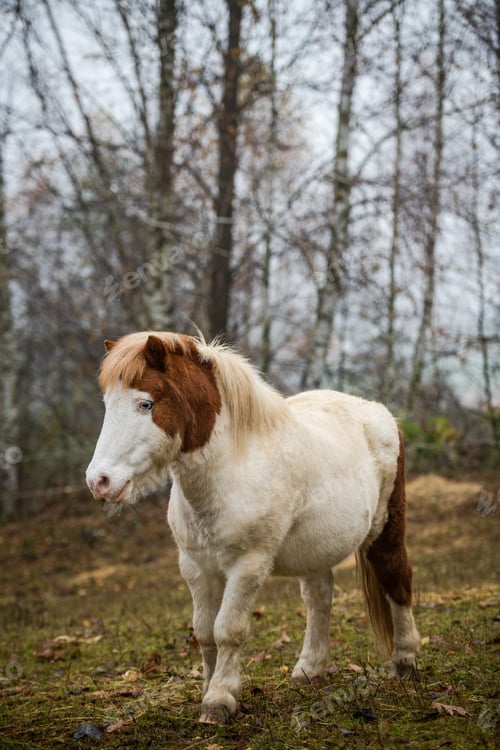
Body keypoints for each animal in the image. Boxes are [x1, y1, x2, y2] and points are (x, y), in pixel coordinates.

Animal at [86, 331, 420, 724]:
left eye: (145, 404)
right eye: (108, 404)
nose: (99, 482)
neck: (232, 469)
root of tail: (380, 413)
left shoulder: (247, 566)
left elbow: (228, 630)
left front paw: (219, 699)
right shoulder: (196, 568)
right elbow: (204, 631)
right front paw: (208, 688)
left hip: (384, 531)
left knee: (396, 579)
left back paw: (405, 660)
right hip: (315, 551)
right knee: (319, 599)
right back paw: (309, 669)